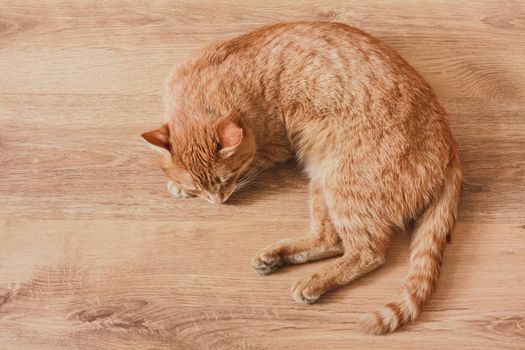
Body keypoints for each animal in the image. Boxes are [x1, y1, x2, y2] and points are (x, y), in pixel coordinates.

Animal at [141, 21, 460, 334]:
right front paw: (179, 186)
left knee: (367, 252)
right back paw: (275, 258)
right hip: (322, 184)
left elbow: (254, 164)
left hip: (342, 186)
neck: (206, 92)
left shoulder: (271, 148)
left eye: (226, 179)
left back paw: (313, 282)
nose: (217, 202)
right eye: (199, 186)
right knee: (331, 240)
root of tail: (449, 140)